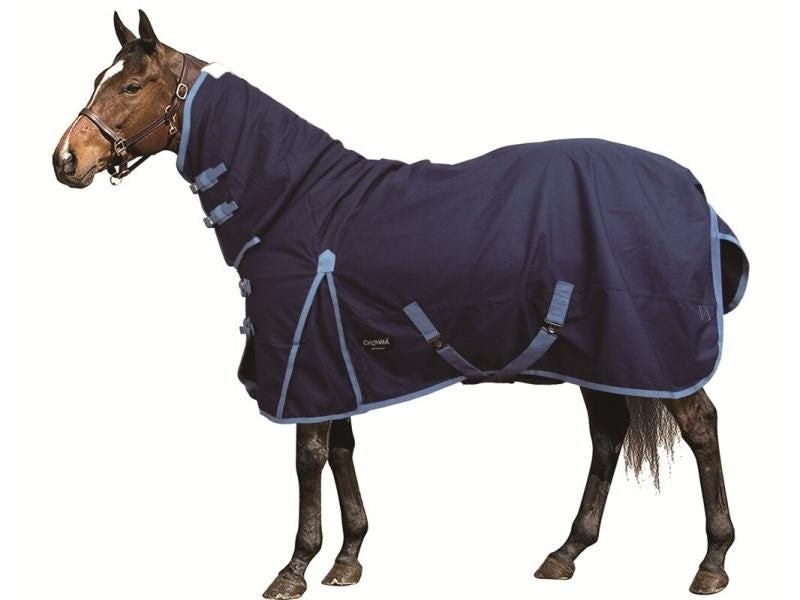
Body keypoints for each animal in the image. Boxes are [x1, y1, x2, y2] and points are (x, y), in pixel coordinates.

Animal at [52, 10, 743, 597]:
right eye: (98, 80)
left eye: (132, 84)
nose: (66, 160)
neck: (294, 201)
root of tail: (691, 187)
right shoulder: (335, 362)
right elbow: (340, 450)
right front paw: (348, 558)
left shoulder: (302, 360)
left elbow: (308, 459)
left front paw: (294, 568)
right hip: (600, 353)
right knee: (607, 434)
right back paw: (566, 552)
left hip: (652, 349)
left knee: (700, 428)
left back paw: (712, 562)